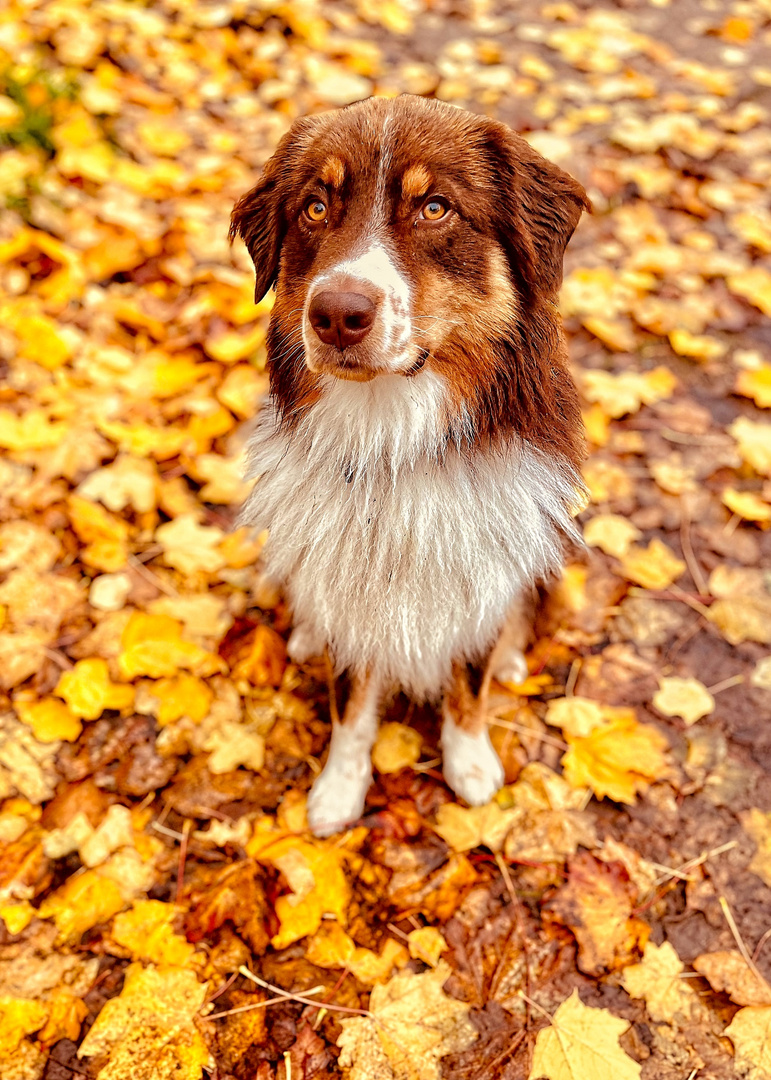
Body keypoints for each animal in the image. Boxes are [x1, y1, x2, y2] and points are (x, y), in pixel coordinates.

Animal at [231, 95, 587, 833]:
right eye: (314, 208)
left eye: (435, 208)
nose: (337, 314)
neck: (392, 434)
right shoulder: (345, 582)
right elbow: (350, 702)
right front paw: (338, 789)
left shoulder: (484, 568)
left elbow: (469, 679)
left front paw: (470, 763)